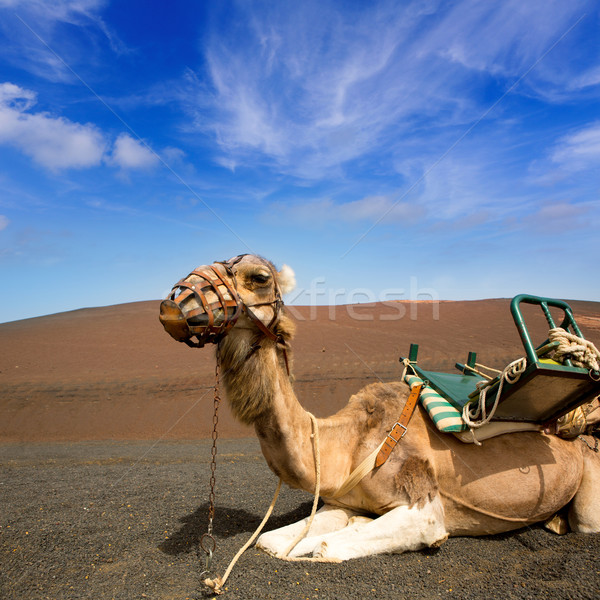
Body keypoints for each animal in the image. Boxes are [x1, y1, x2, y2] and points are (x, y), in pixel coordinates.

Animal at [159, 254, 600, 564]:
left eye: (259, 278)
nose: (173, 304)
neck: (350, 442)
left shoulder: (425, 511)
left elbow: (325, 546)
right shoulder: (339, 499)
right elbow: (270, 541)